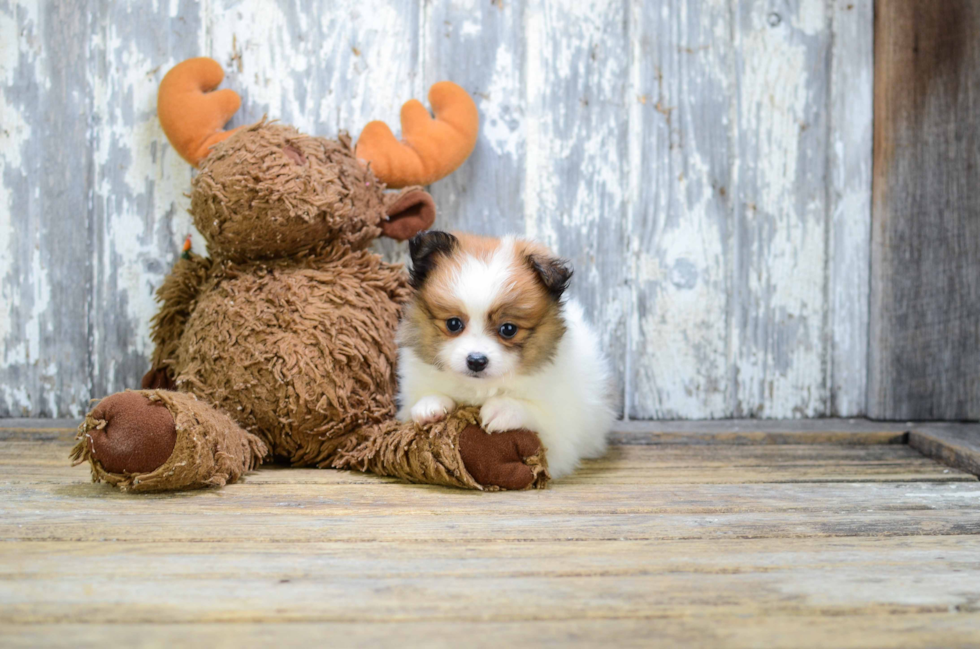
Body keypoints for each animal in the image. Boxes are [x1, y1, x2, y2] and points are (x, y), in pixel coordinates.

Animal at [396, 230, 612, 478]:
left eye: (508, 329)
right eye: (453, 324)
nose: (476, 361)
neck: (480, 388)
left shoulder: (561, 433)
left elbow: (536, 414)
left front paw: (503, 409)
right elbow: (423, 399)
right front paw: (429, 405)